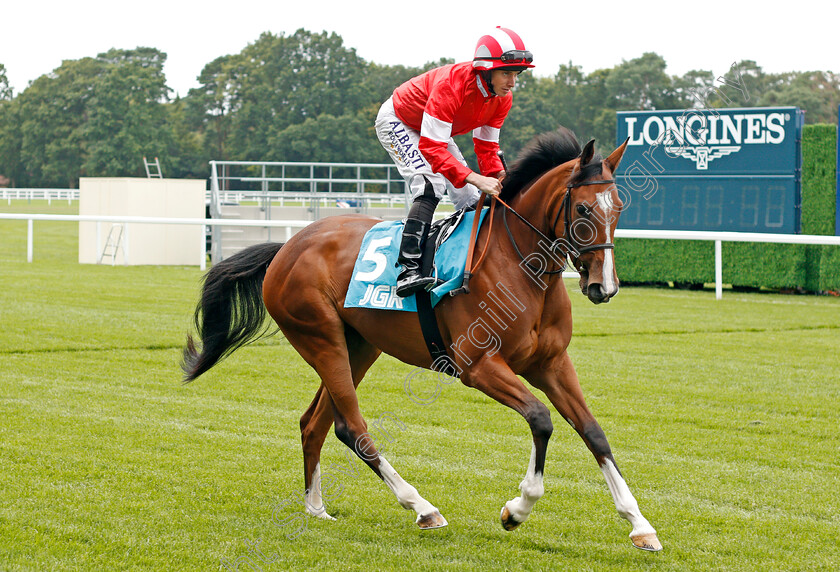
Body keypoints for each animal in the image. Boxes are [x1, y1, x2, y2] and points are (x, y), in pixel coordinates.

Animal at [182, 128, 664, 548]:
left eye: (619, 208)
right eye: (582, 210)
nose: (604, 287)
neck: (520, 267)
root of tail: (286, 247)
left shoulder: (551, 363)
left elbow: (593, 431)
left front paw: (639, 525)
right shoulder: (478, 366)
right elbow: (541, 419)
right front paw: (517, 509)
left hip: (359, 345)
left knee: (314, 422)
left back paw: (316, 508)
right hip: (320, 338)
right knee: (352, 427)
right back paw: (421, 507)